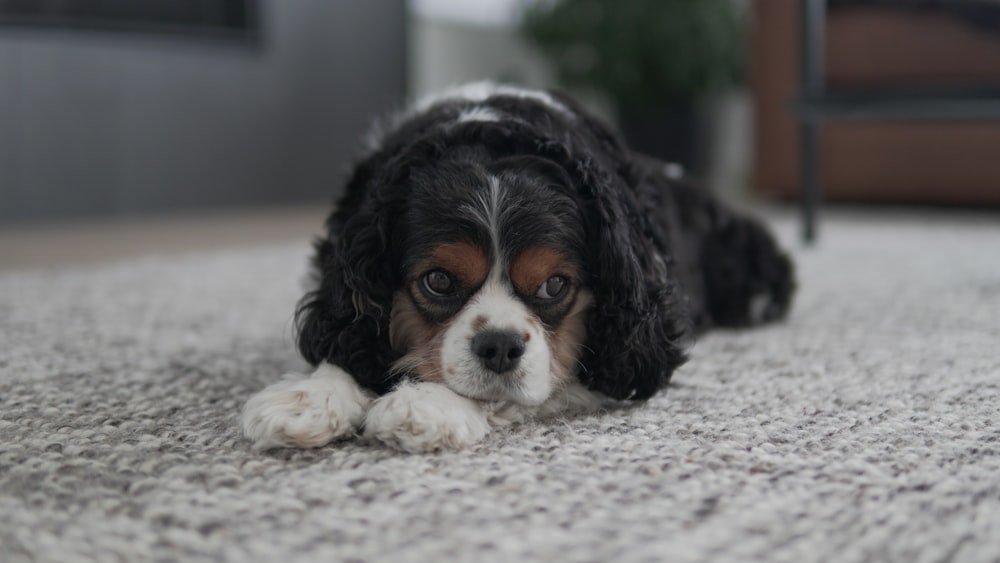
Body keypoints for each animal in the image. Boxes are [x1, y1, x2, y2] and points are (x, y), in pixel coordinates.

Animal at [238, 82, 792, 454]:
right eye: (438, 280)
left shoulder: (620, 344)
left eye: (554, 285)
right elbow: (345, 338)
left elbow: (532, 384)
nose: (499, 346)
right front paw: (309, 397)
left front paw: (427, 405)